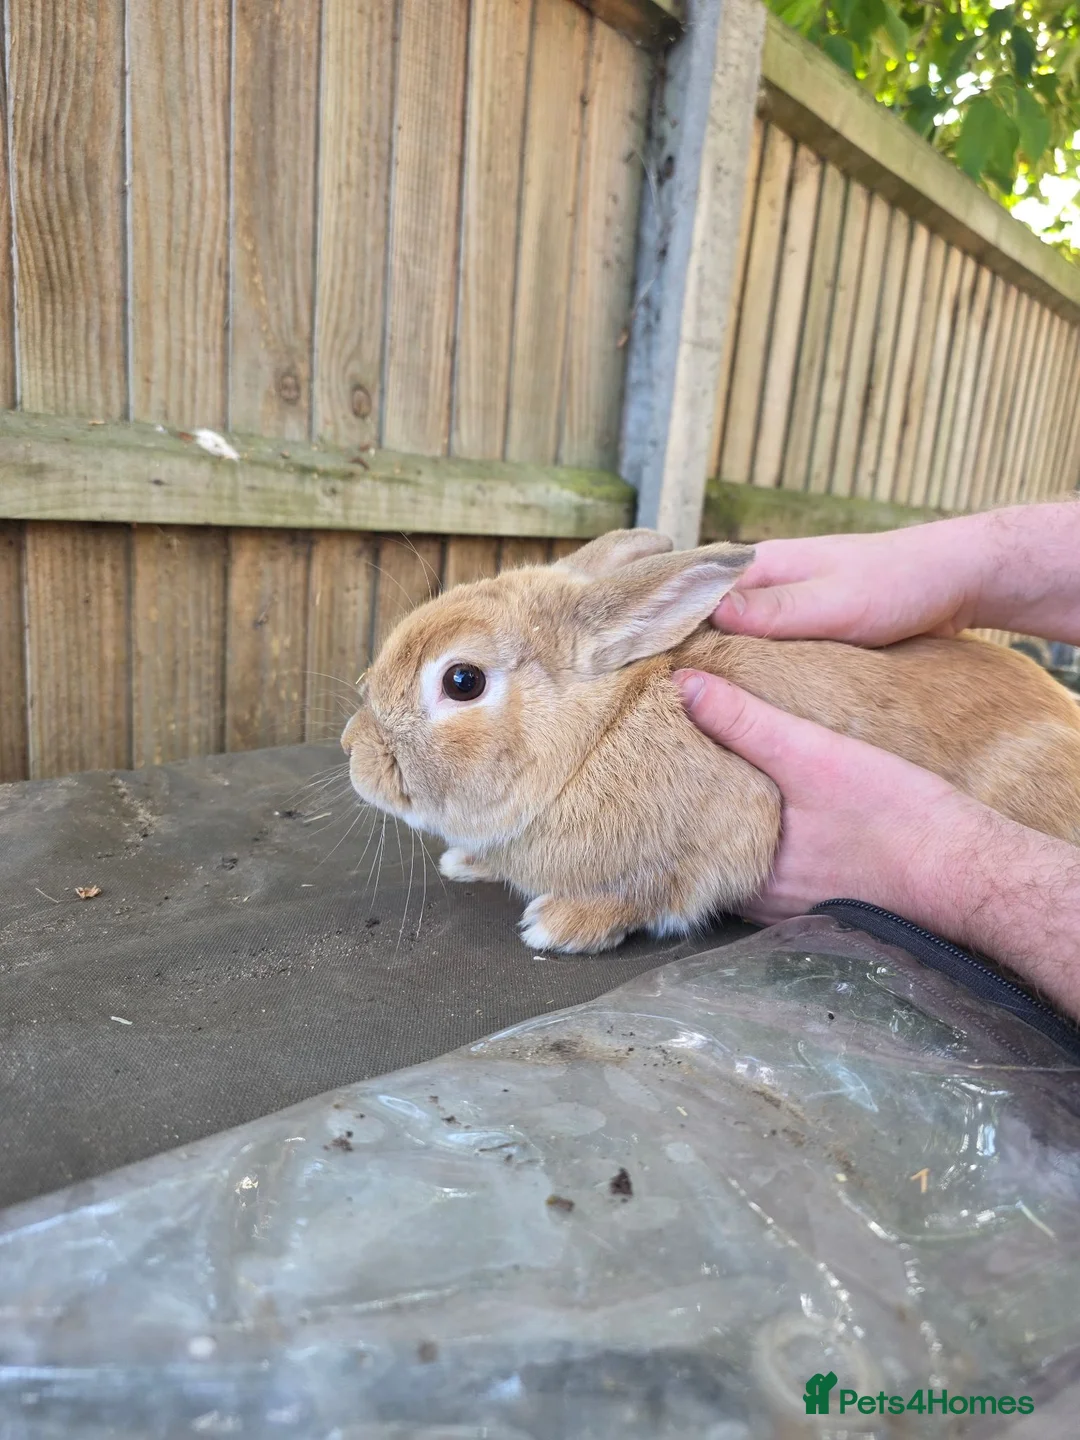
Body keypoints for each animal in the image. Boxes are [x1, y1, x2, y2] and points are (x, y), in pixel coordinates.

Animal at [341, 528, 1080, 953]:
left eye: (462, 681)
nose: (353, 750)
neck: (595, 738)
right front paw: (468, 863)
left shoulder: (731, 825)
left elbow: (649, 893)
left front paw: (557, 925)